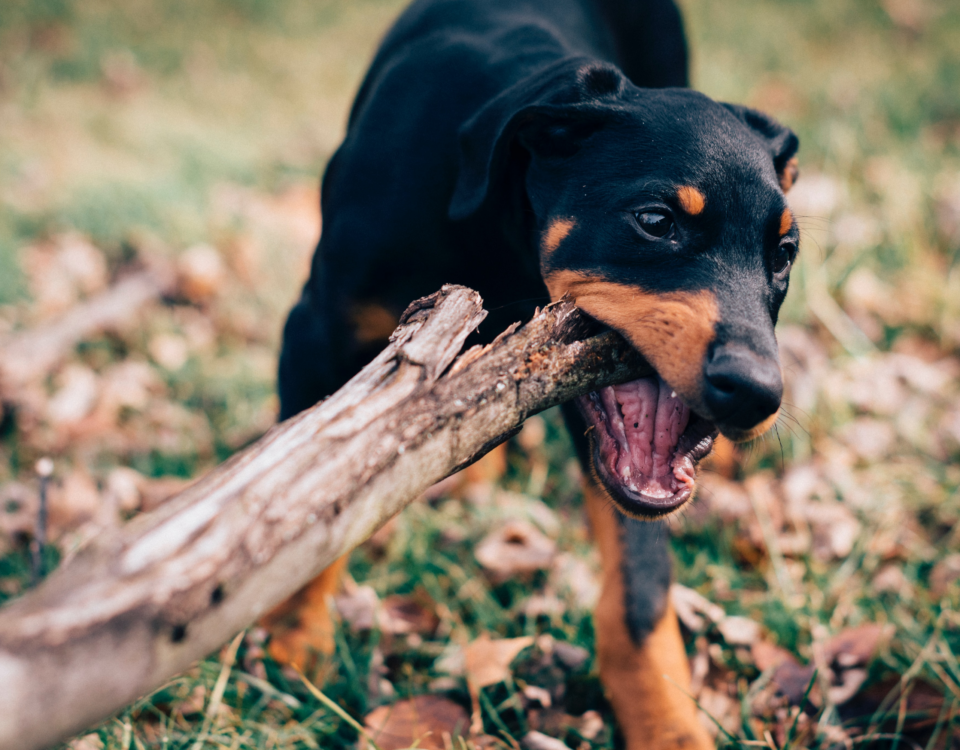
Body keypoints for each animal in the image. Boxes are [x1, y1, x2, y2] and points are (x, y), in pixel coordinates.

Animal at [266, 1, 800, 748]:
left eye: (785, 253)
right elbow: (310, 503)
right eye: (655, 220)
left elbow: (639, 591)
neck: (494, 228)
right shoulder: (312, 334)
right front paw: (294, 639)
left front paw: (669, 726)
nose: (755, 393)